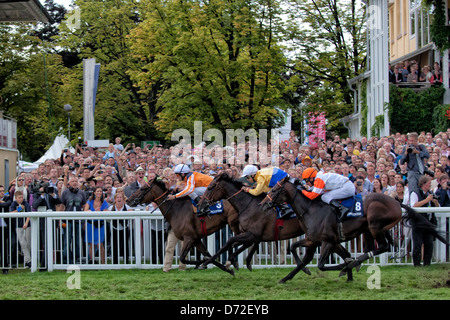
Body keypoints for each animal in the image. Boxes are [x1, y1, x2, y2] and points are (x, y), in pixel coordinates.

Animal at [199, 172, 356, 280]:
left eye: (210, 187)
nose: (200, 204)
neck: (248, 205)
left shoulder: (253, 234)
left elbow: (230, 242)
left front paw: (212, 263)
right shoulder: (251, 235)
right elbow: (235, 245)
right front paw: (231, 262)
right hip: (326, 238)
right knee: (345, 254)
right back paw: (349, 272)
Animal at [258, 176, 448, 284]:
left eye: (275, 189)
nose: (262, 204)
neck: (311, 209)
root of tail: (396, 201)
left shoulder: (327, 241)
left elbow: (322, 264)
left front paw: (346, 267)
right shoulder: (316, 240)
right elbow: (296, 251)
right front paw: (285, 278)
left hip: (374, 225)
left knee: (383, 247)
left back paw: (355, 263)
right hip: (379, 229)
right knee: (385, 245)